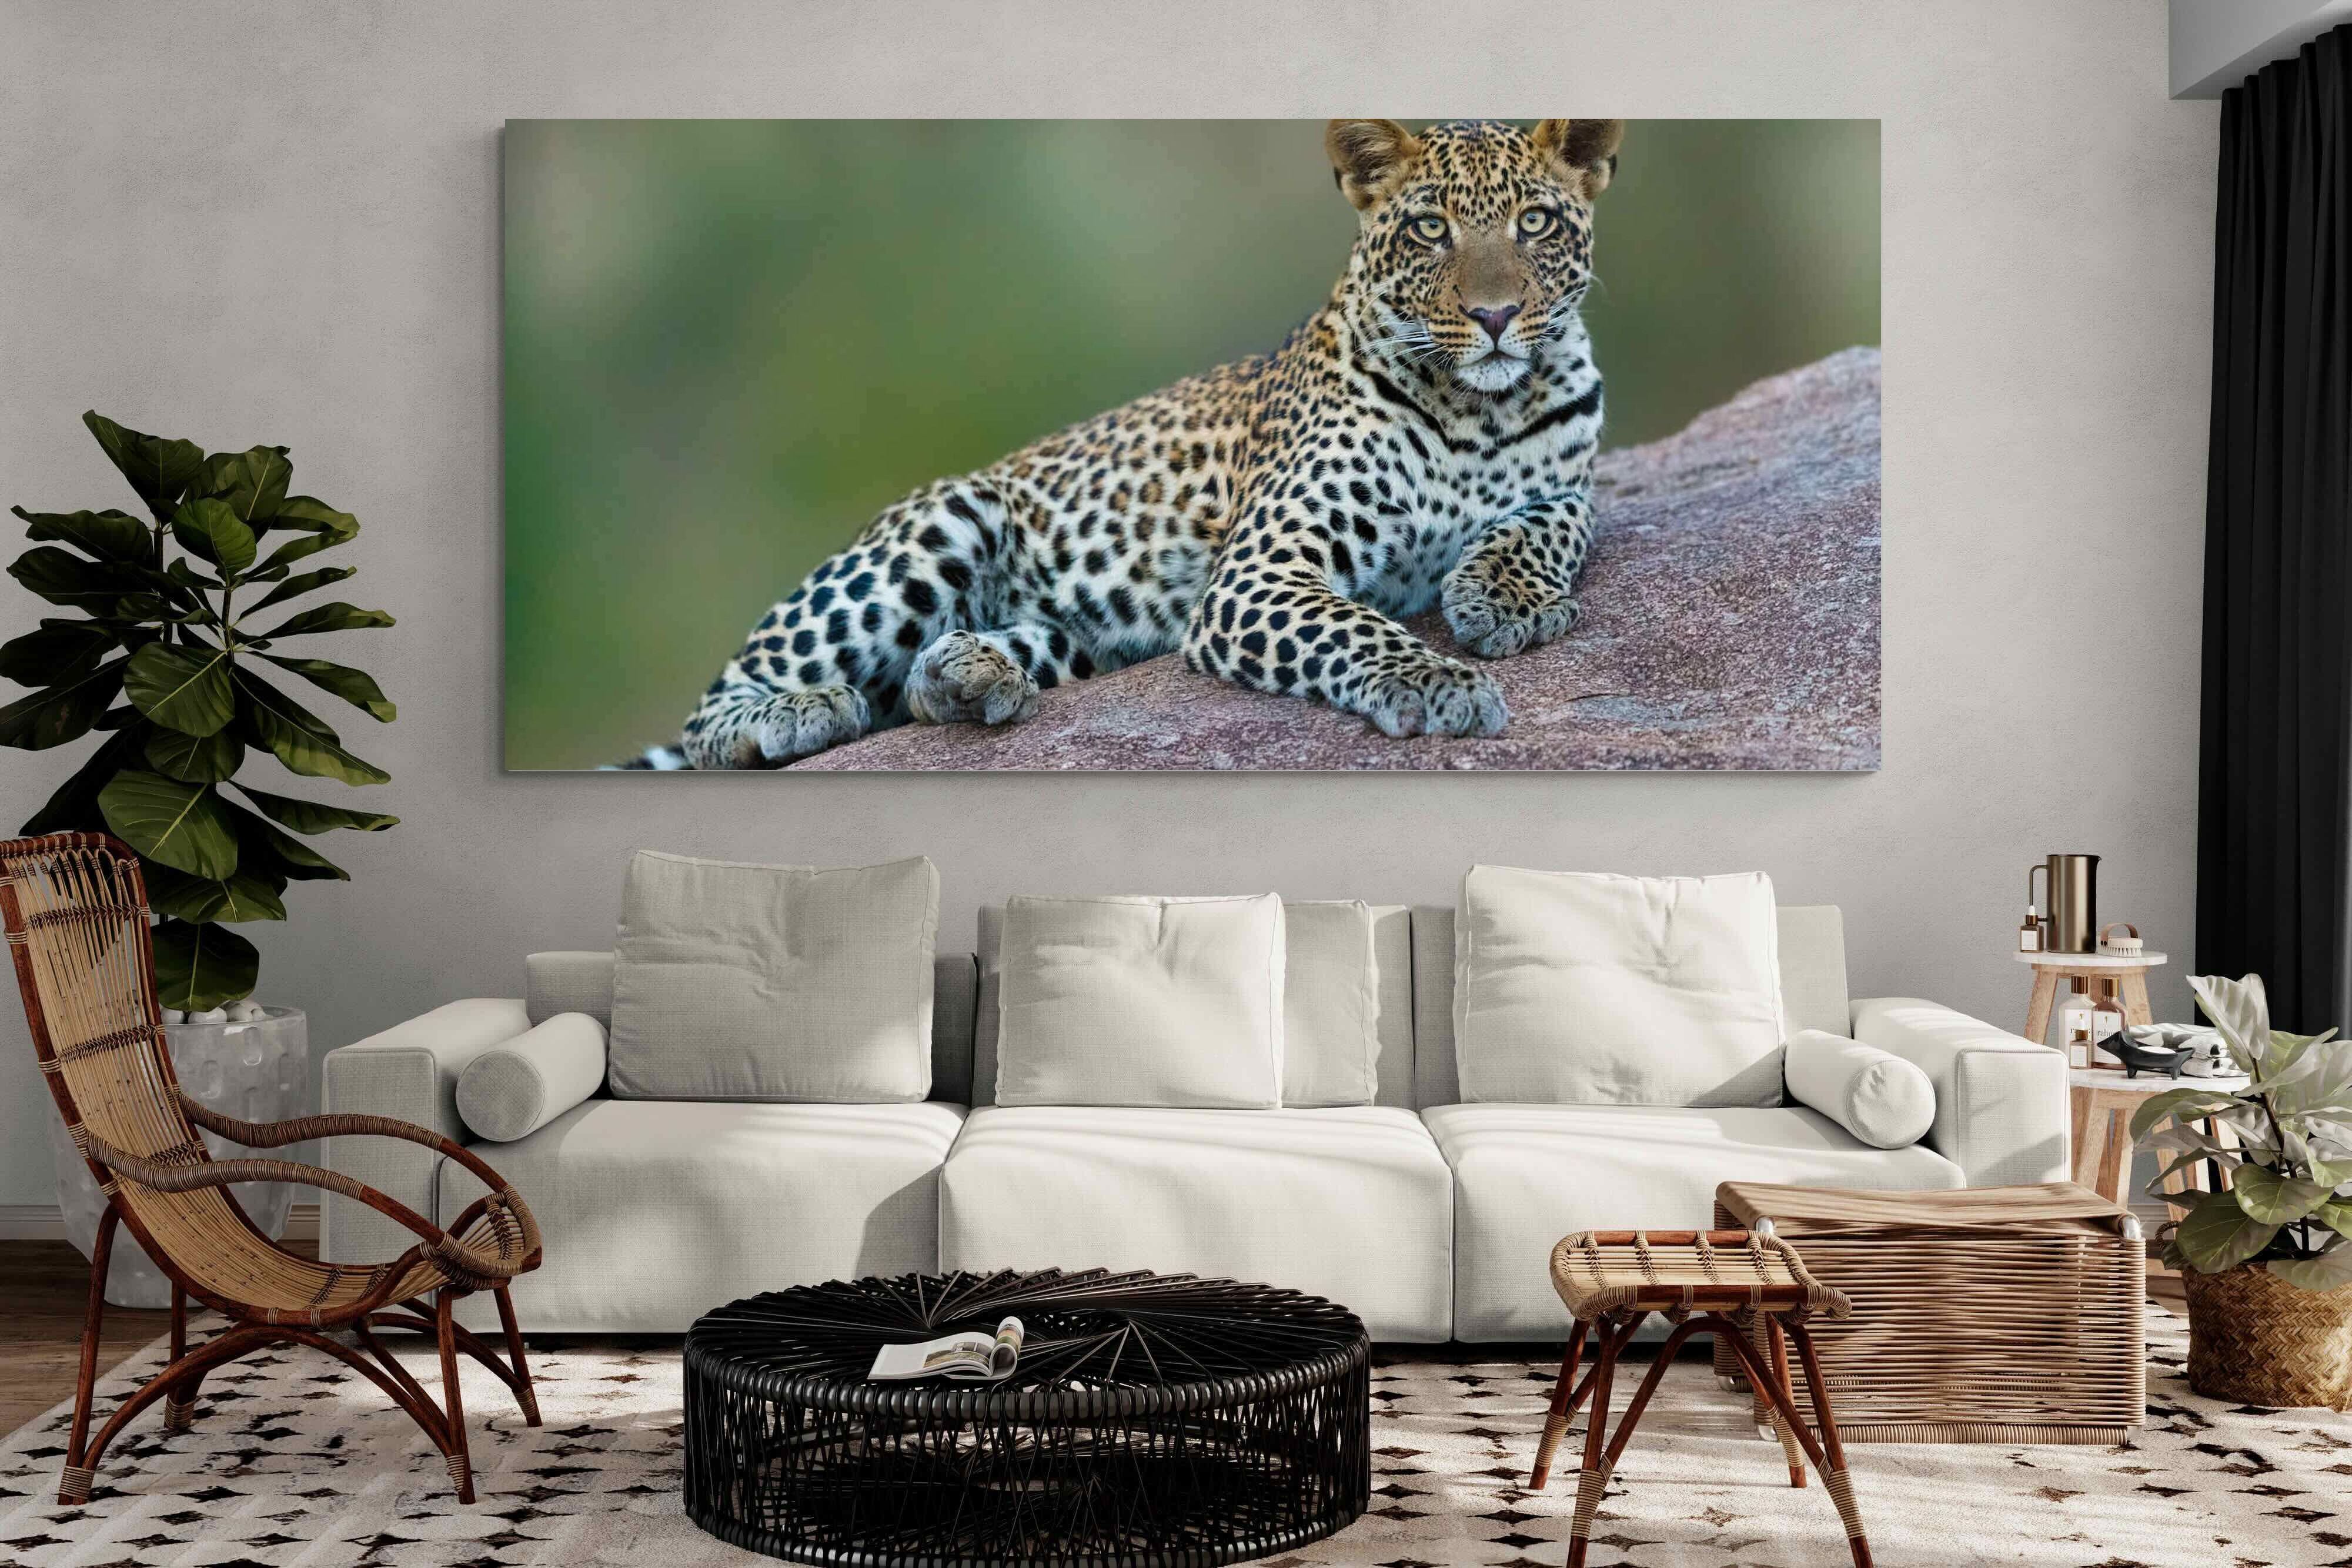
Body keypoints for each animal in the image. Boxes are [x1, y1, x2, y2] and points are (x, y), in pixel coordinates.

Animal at [627, 117, 1625, 769]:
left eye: (1535, 222)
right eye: (1430, 229)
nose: (1495, 316)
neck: (1481, 411)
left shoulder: (1571, 481)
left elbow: (1555, 521)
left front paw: (1504, 597)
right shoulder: (1260, 572)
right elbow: (1356, 628)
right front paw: (1436, 682)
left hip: (1080, 640)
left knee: (916, 684)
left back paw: (967, 674)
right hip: (940, 524)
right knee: (715, 712)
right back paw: (799, 712)